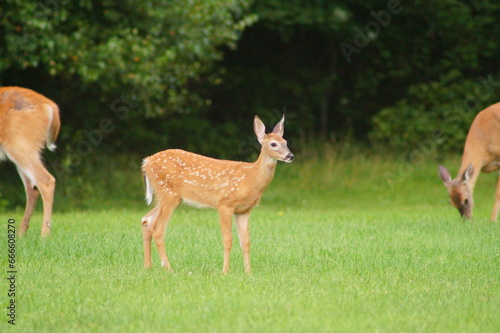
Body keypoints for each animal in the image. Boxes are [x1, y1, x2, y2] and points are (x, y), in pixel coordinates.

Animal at [0, 87, 60, 235]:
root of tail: (51, 106)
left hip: (20, 143)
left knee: (45, 180)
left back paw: (44, 235)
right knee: (32, 188)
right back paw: (21, 235)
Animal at [142, 114, 292, 272]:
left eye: (286, 142)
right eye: (273, 144)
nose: (290, 156)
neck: (250, 178)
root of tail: (146, 163)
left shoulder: (244, 210)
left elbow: (246, 242)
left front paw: (248, 272)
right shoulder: (225, 204)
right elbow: (227, 239)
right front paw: (225, 271)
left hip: (165, 197)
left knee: (146, 220)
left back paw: (148, 266)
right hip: (168, 193)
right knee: (158, 230)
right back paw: (168, 268)